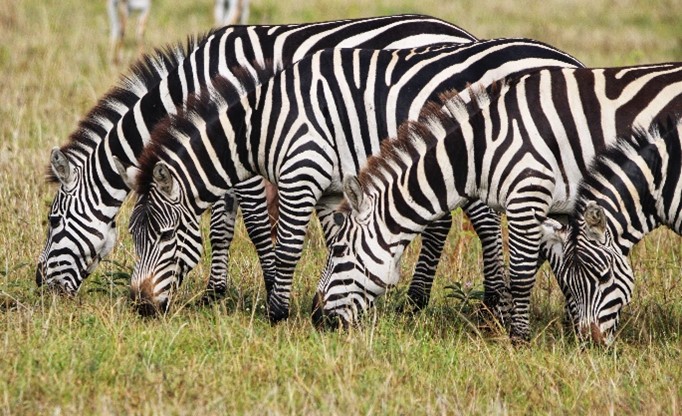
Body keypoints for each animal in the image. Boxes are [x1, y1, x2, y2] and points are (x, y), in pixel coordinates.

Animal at [36, 15, 478, 298]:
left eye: (53, 221)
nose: (40, 285)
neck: (192, 85)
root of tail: (460, 32)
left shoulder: (240, 149)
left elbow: (253, 223)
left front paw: (269, 287)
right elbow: (221, 226)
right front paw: (215, 292)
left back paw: (425, 300)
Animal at [122, 39, 583, 318]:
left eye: (165, 236)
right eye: (133, 237)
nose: (140, 304)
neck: (260, 123)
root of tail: (570, 59)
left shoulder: (300, 173)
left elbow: (286, 248)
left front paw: (277, 314)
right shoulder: (331, 188)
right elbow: (336, 243)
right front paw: (327, 301)